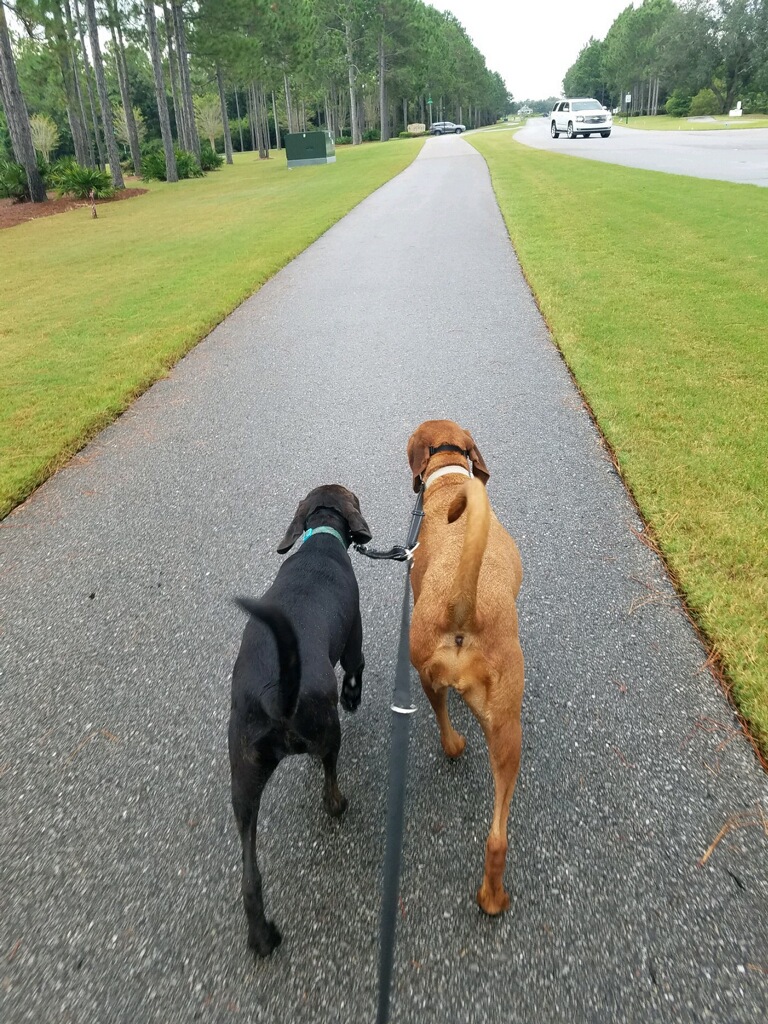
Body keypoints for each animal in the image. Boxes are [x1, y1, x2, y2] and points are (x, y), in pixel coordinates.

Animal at [228, 483, 372, 954]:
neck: (321, 537)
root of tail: (276, 697)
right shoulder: (353, 644)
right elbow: (356, 670)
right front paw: (353, 697)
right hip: (329, 730)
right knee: (329, 783)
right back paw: (339, 804)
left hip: (242, 782)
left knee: (249, 878)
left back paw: (262, 938)